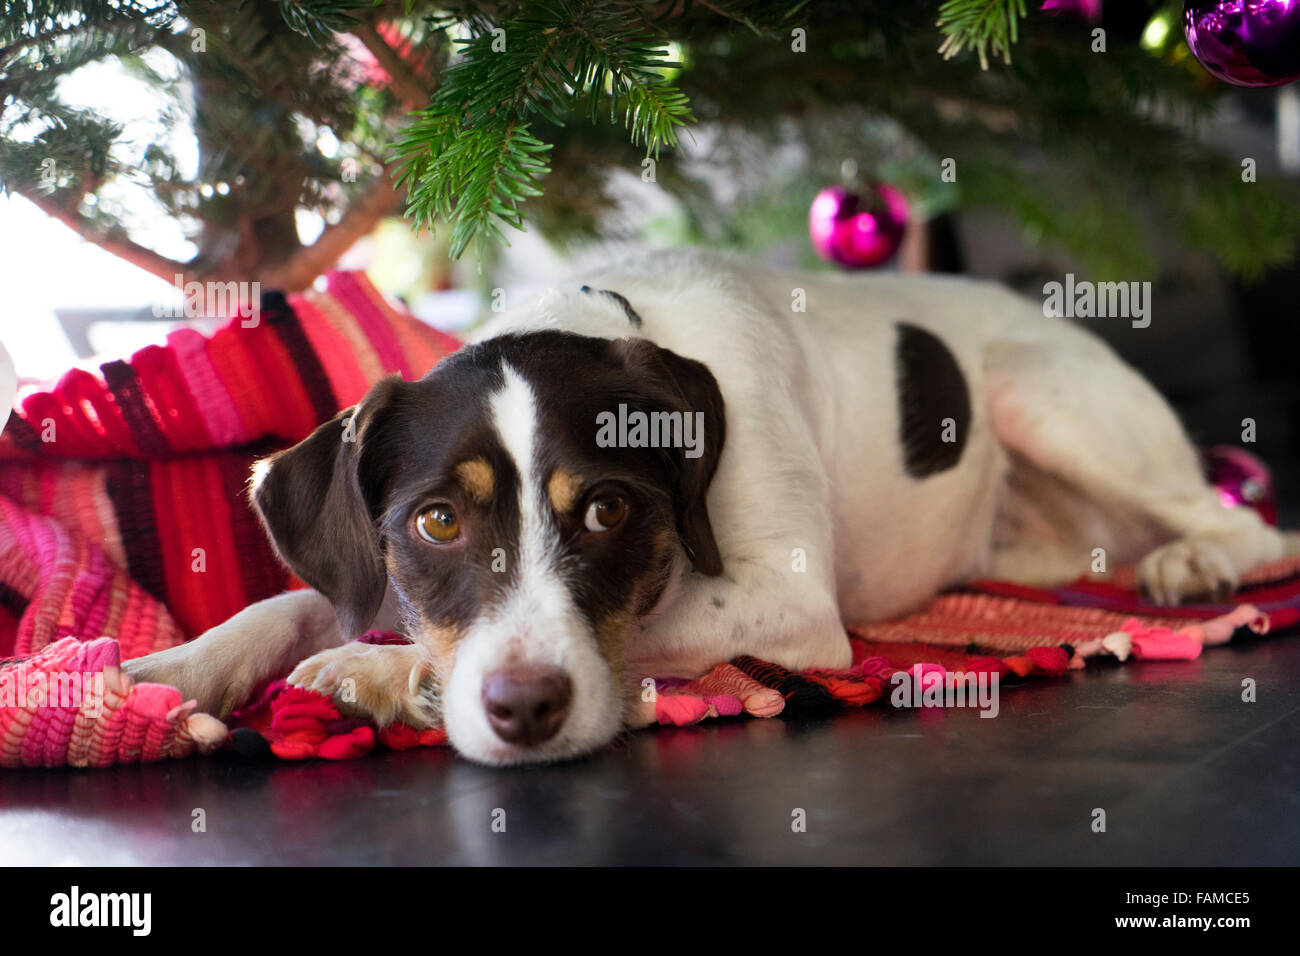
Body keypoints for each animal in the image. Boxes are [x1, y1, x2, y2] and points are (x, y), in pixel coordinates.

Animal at [124, 251, 1300, 764]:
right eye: (437, 522)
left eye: (608, 510)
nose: (524, 711)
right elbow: (291, 603)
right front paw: (167, 670)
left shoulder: (791, 603)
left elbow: (643, 624)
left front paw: (382, 674)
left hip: (1043, 394)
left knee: (1242, 522)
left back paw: (1195, 564)